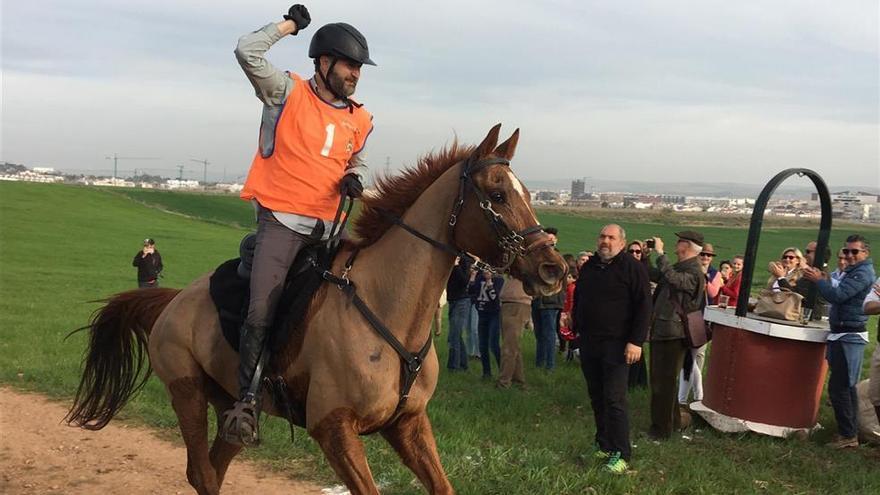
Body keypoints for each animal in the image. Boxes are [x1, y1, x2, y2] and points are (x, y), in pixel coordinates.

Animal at [65, 123, 568, 492]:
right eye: (498, 195)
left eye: (528, 193)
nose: (554, 268)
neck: (389, 312)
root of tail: (175, 299)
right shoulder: (333, 429)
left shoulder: (408, 425)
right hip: (186, 392)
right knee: (202, 473)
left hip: (230, 407)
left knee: (213, 468)